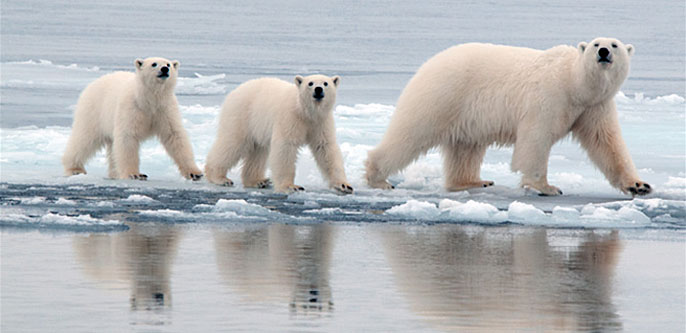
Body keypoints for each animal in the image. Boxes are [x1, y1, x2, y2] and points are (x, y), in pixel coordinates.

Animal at [62, 57, 203, 182]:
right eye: (154, 64)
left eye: (168, 64)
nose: (164, 69)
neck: (149, 100)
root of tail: (93, 83)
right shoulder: (132, 108)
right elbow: (127, 137)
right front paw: (134, 174)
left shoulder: (165, 109)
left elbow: (175, 136)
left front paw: (195, 173)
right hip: (94, 112)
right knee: (84, 139)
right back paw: (75, 169)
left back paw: (114, 173)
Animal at [204, 74, 354, 193]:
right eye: (310, 83)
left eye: (325, 83)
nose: (318, 89)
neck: (306, 112)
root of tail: (234, 91)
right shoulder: (290, 118)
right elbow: (286, 147)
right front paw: (291, 186)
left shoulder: (320, 122)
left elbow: (325, 148)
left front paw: (344, 185)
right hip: (242, 115)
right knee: (232, 143)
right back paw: (220, 178)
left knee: (258, 151)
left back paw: (258, 181)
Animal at [368, 37, 652, 196]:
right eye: (595, 43)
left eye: (615, 44)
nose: (603, 52)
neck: (574, 82)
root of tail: (428, 64)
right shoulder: (549, 97)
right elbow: (536, 139)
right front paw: (547, 187)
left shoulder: (594, 107)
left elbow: (606, 144)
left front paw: (639, 186)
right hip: (443, 96)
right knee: (411, 133)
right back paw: (378, 177)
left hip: (465, 114)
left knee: (466, 148)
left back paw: (475, 181)